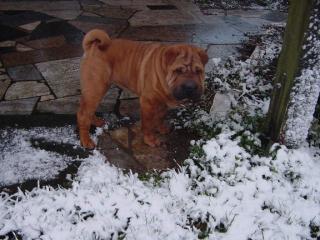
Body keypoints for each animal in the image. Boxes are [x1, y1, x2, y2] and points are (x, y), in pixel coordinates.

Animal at [77, 28, 208, 148]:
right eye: (178, 71)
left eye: (198, 71)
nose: (190, 87)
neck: (163, 74)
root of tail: (93, 46)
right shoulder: (147, 102)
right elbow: (148, 124)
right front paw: (150, 140)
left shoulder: (162, 102)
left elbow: (161, 117)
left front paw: (161, 128)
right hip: (96, 88)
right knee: (83, 114)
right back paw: (86, 141)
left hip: (96, 90)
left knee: (88, 110)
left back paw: (97, 121)